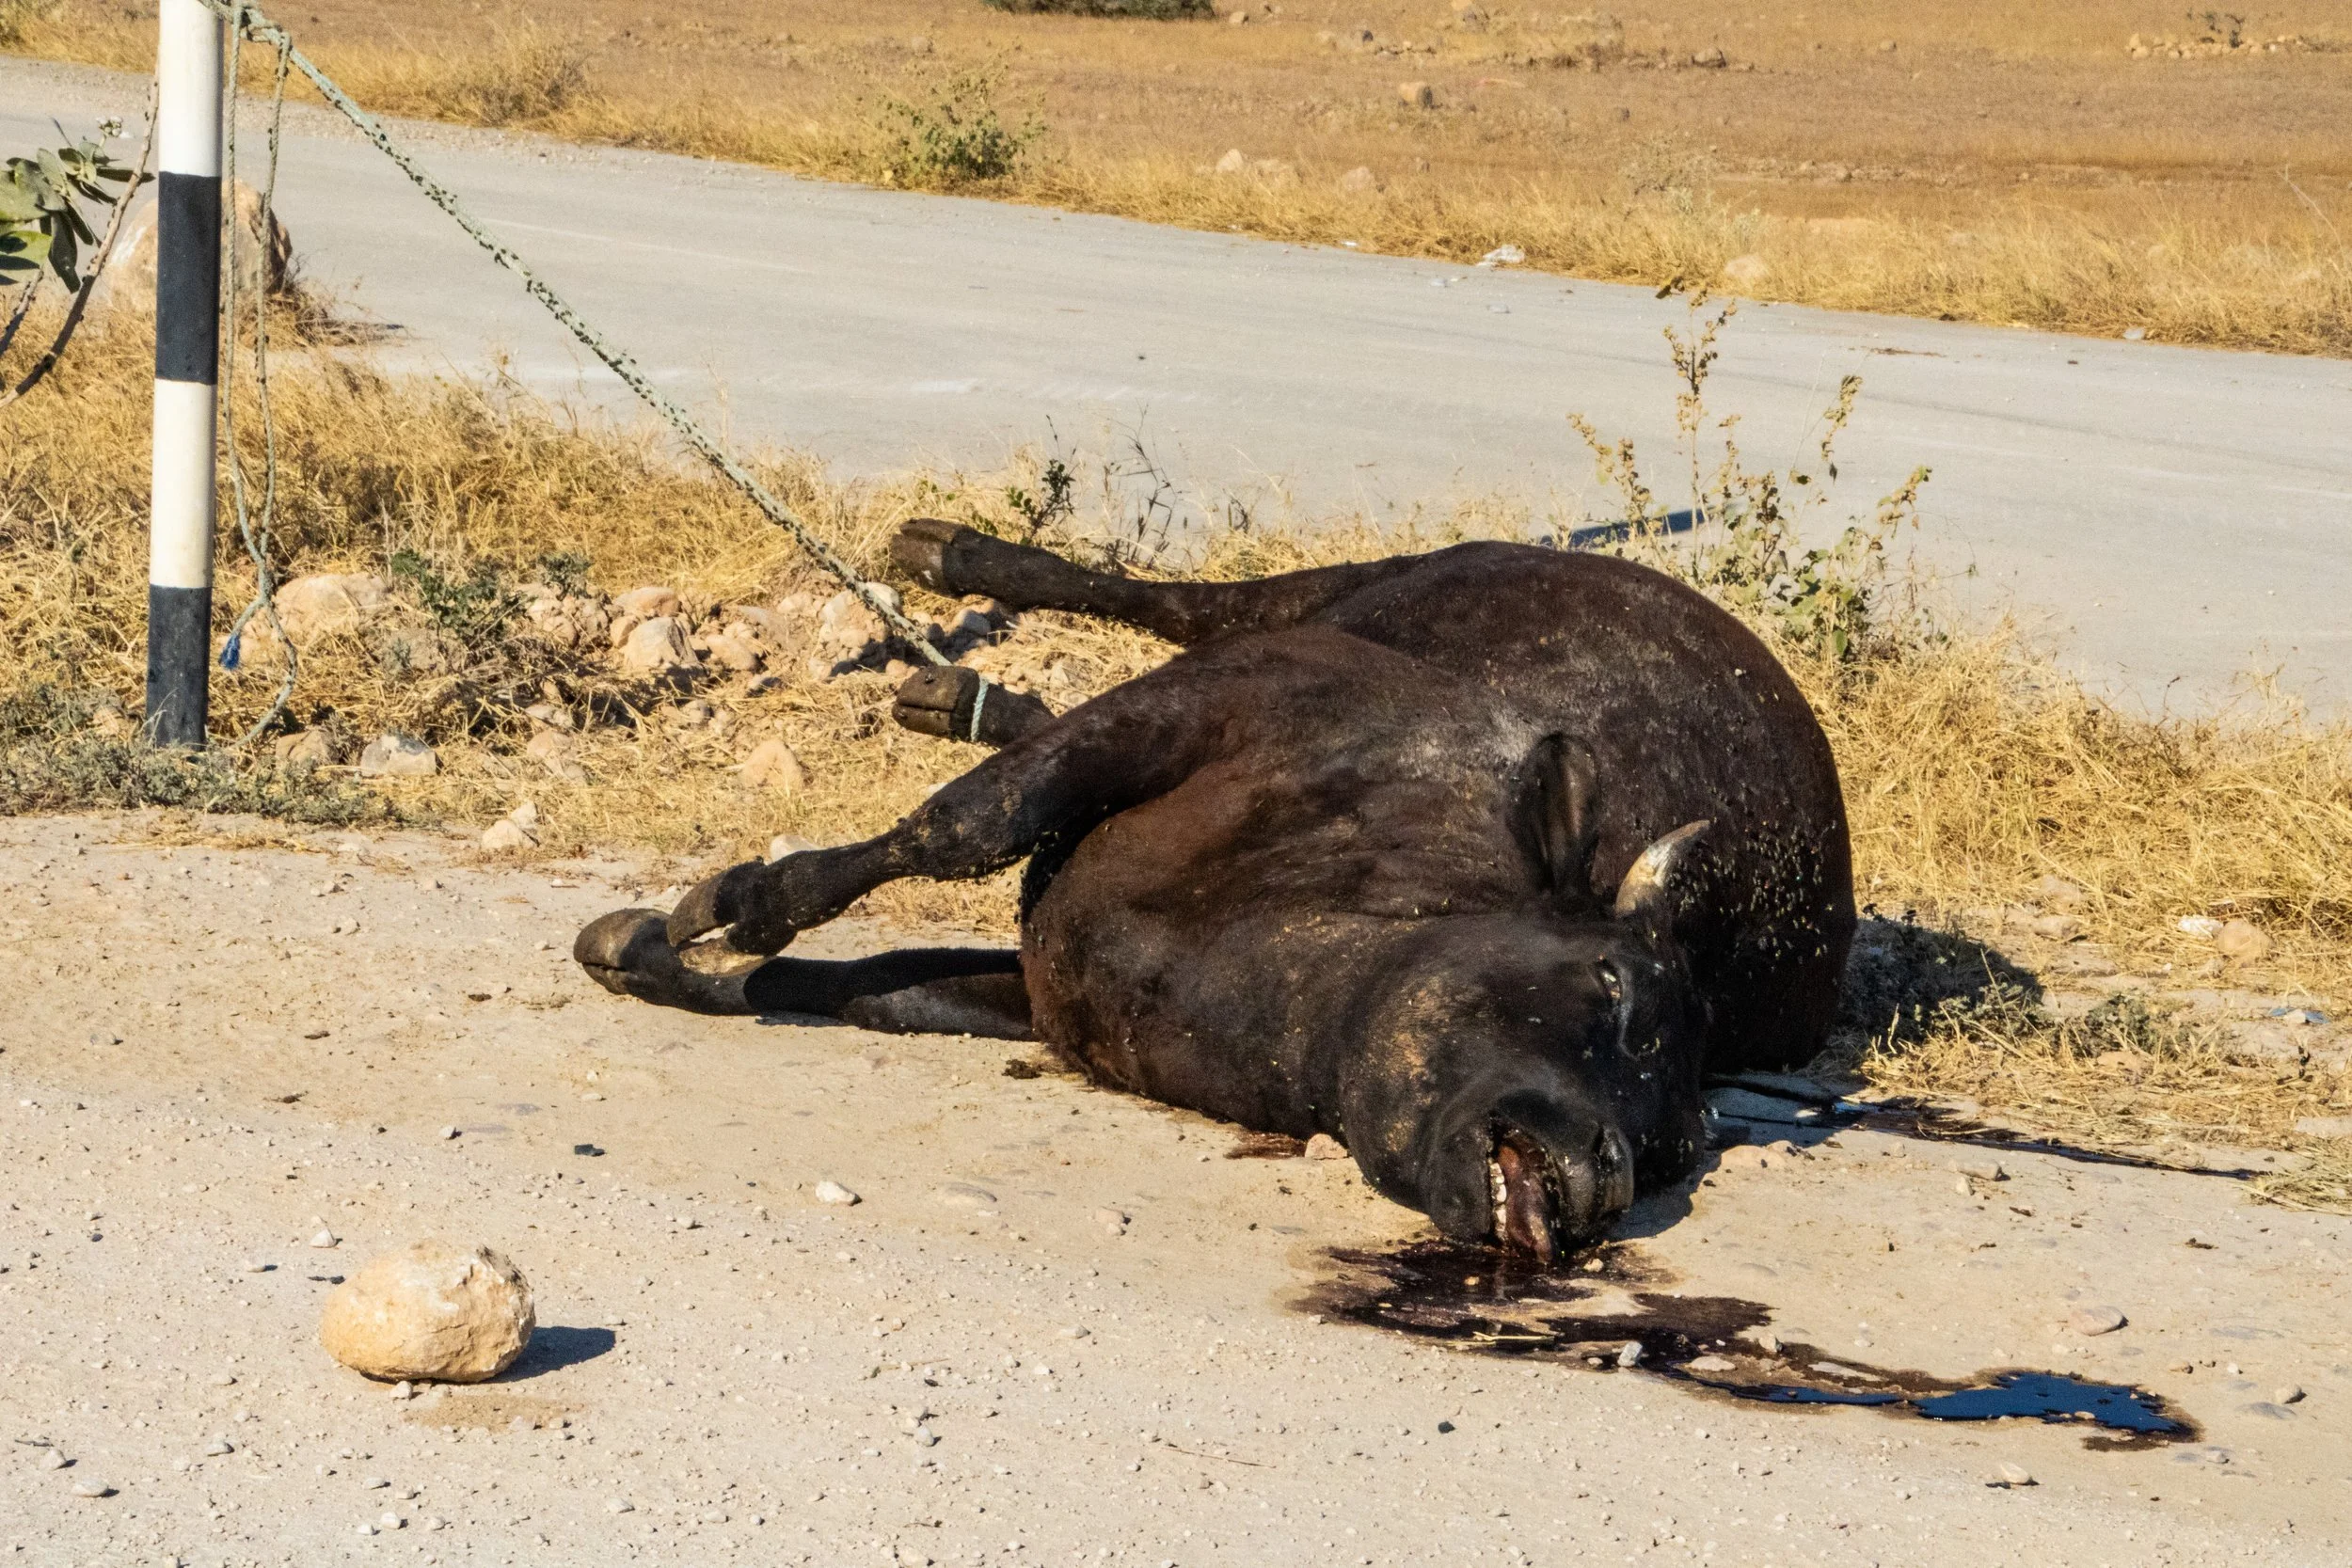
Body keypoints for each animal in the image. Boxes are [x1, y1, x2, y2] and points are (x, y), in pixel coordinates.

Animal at [575, 520, 1855, 1261]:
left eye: (1679, 1144)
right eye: (1613, 984)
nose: (1602, 1178)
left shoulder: (1041, 992)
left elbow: (862, 984)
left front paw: (662, 957)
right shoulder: (1227, 697)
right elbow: (960, 825)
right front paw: (726, 906)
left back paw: (961, 693)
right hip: (1323, 595)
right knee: (1174, 601)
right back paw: (949, 557)